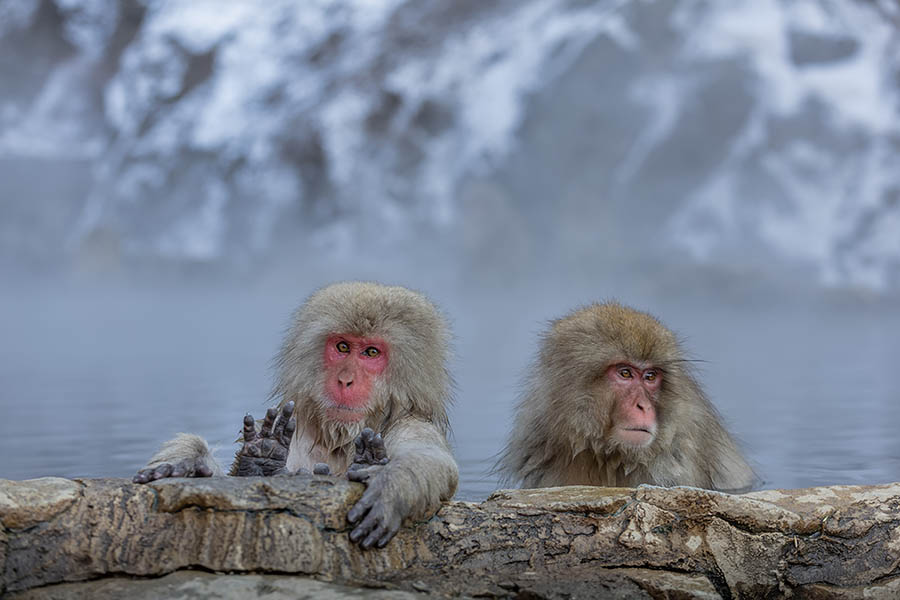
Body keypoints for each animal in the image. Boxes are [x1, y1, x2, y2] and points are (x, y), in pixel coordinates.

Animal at [133, 282, 459, 549]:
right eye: (343, 347)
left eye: (371, 353)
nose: (345, 380)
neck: (341, 439)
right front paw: (189, 464)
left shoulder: (412, 423)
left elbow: (434, 461)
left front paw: (393, 484)